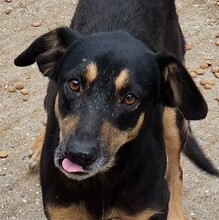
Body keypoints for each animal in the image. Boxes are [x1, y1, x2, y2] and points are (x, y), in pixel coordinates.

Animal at [14, 0, 218, 220]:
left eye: (130, 98)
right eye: (74, 84)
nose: (78, 155)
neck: (101, 180)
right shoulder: (61, 210)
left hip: (173, 114)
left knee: (176, 170)